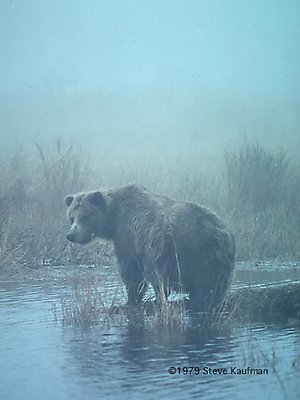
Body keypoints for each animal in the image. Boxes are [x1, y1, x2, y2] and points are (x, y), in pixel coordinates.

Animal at [64, 185, 236, 312]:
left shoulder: (128, 238)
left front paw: (131, 300)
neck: (112, 220)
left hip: (193, 251)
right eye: (71, 217)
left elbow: (131, 272)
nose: (71, 235)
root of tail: (223, 233)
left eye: (85, 217)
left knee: (201, 280)